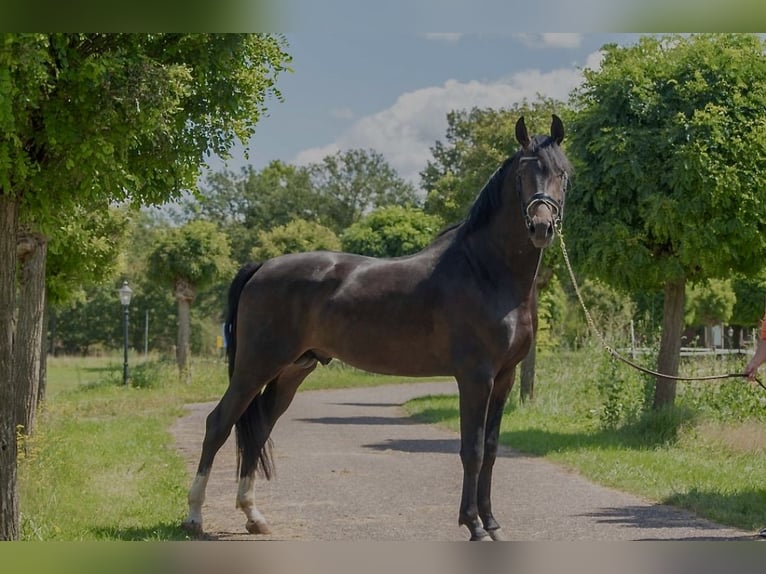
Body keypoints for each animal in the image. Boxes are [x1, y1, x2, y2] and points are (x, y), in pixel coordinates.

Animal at [183, 115, 572, 544]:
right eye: (523, 174)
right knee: (219, 423)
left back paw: (254, 516)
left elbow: (490, 448)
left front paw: (492, 524)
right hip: (255, 366)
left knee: (260, 428)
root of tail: (261, 267)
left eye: (563, 173)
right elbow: (471, 450)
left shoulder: (504, 377)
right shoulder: (475, 377)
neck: (486, 272)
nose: (541, 227)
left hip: (291, 371)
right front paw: (472, 525)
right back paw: (195, 517)